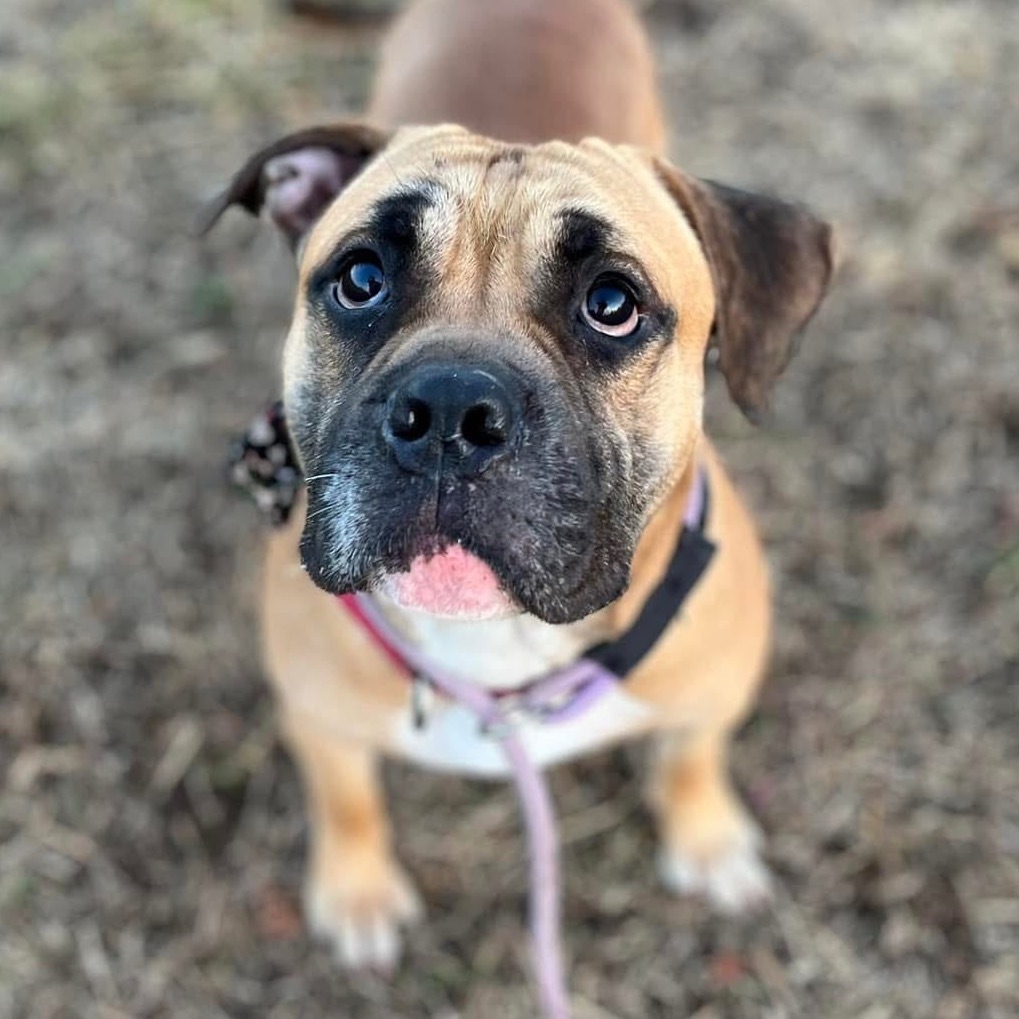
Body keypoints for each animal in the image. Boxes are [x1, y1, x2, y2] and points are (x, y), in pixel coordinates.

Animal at [202, 0, 831, 974]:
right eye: (359, 279)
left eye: (612, 304)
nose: (449, 410)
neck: (501, 654)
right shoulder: (318, 719)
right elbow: (347, 800)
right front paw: (355, 889)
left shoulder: (711, 694)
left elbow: (690, 758)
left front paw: (706, 838)